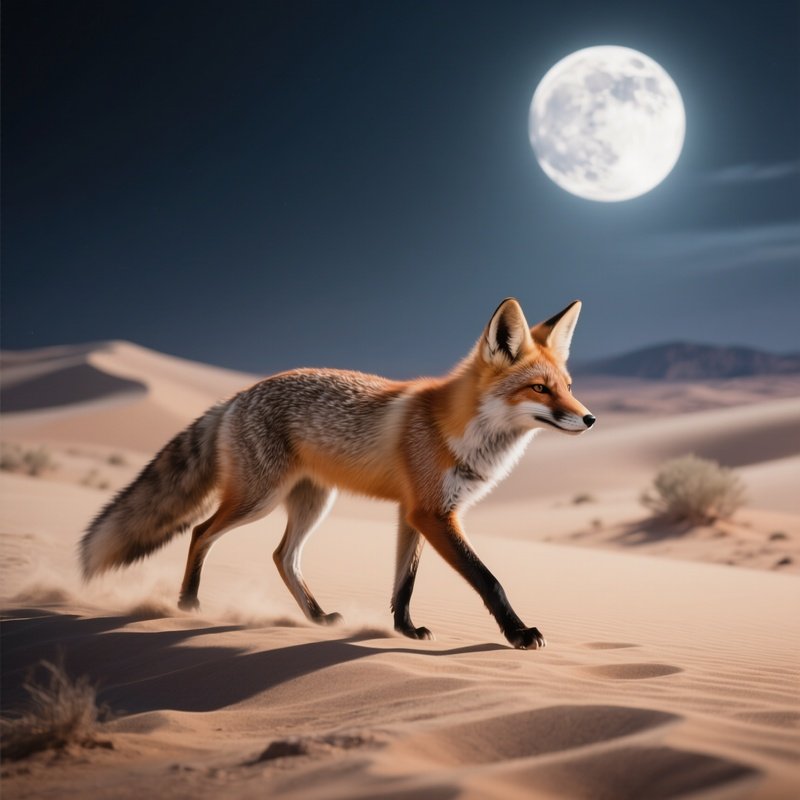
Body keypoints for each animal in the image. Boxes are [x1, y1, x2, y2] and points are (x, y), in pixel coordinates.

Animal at [80, 298, 595, 649]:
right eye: (539, 389)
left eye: (569, 387)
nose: (589, 419)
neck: (461, 430)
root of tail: (237, 395)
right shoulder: (433, 513)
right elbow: (489, 579)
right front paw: (518, 633)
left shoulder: (416, 513)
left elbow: (404, 582)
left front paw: (404, 629)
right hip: (257, 499)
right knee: (201, 532)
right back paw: (188, 603)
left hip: (312, 502)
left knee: (282, 556)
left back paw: (317, 616)